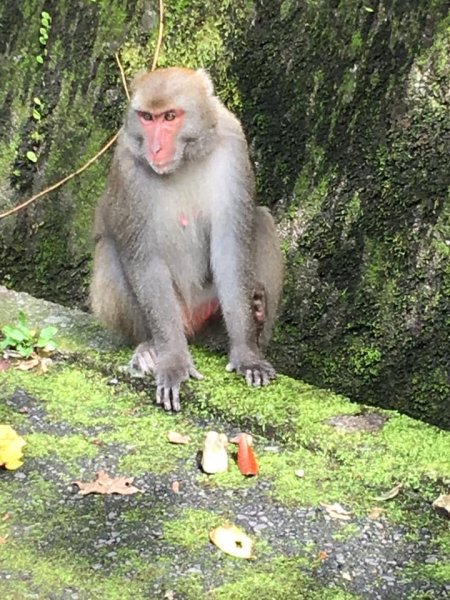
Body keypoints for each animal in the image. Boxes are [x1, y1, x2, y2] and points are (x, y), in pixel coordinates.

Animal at [89, 67, 284, 412]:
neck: (186, 160)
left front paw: (247, 353)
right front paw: (173, 360)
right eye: (147, 117)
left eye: (170, 116)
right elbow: (144, 259)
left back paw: (256, 319)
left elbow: (230, 248)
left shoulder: (233, 145)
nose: (154, 148)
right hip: (176, 311)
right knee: (110, 249)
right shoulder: (128, 164)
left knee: (261, 219)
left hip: (207, 303)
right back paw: (149, 347)